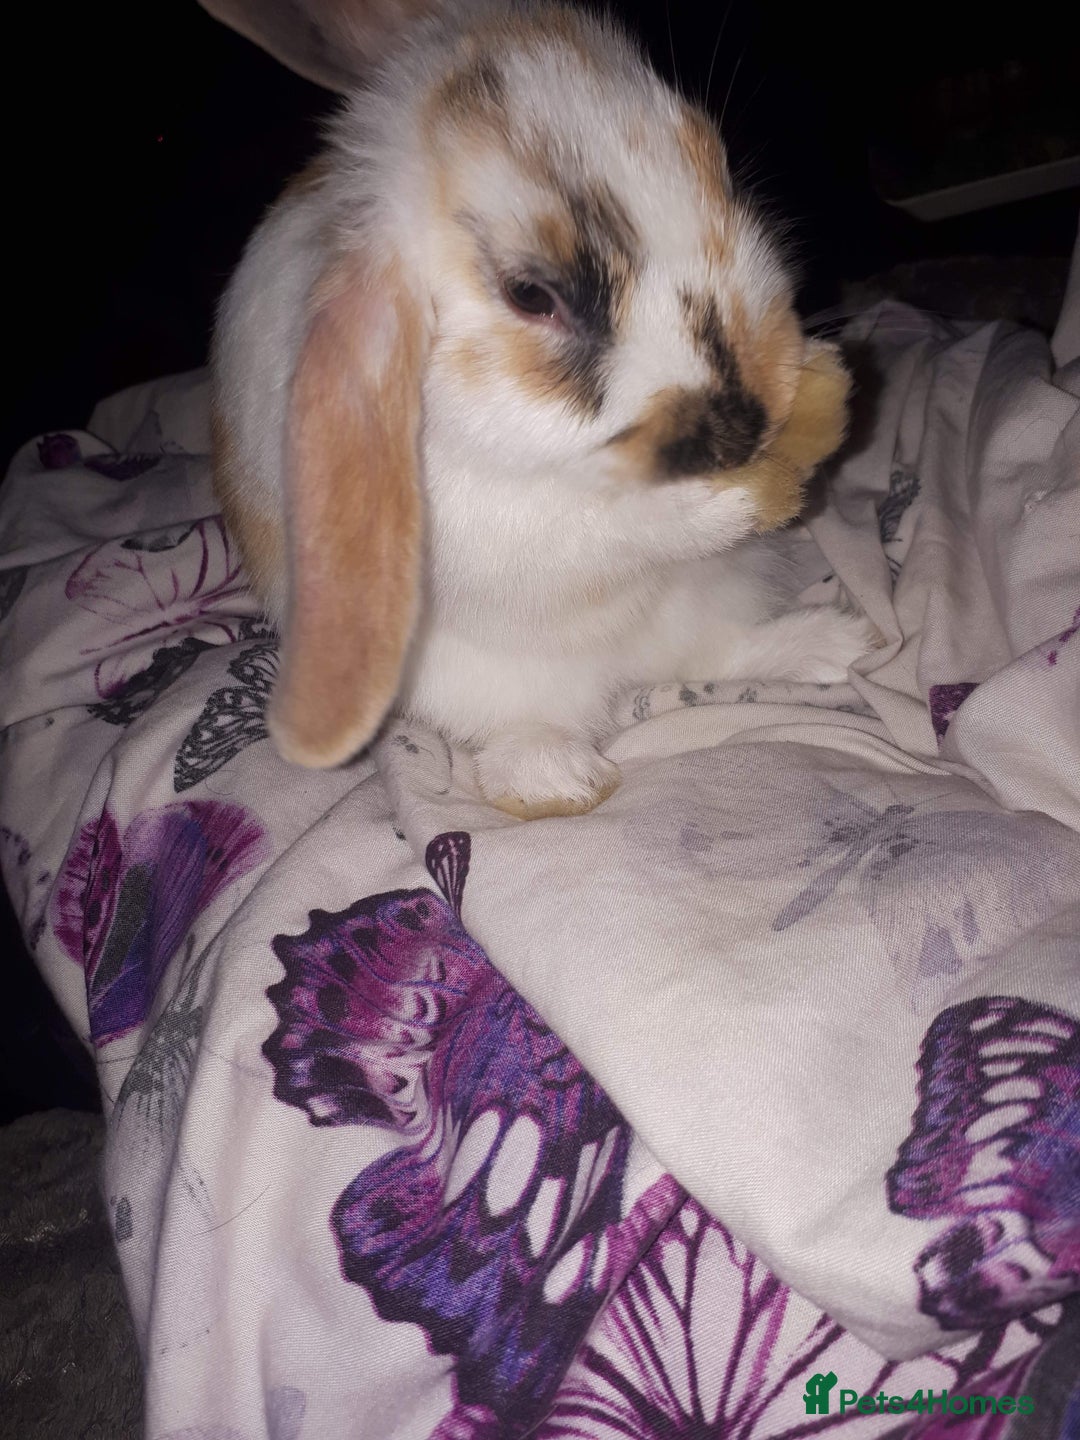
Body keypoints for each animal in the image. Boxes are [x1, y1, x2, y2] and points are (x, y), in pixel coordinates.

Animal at [207, 0, 877, 818]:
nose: (749, 425)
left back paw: (832, 644)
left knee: (712, 652)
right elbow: (610, 532)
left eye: (719, 164)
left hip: (718, 596)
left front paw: (828, 388)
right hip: (475, 679)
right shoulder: (507, 530)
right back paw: (557, 778)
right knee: (531, 722)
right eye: (531, 295)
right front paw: (735, 504)